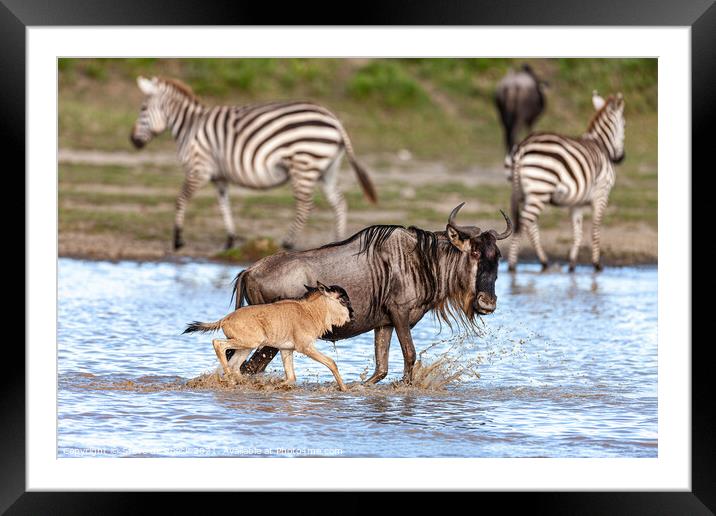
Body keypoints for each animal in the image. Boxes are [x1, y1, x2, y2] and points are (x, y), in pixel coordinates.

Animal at [129, 75, 378, 251]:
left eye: (142, 109)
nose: (132, 141)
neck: (190, 126)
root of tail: (335, 121)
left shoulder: (198, 169)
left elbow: (180, 200)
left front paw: (178, 239)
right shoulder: (219, 177)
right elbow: (224, 205)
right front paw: (230, 240)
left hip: (304, 163)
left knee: (306, 205)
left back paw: (287, 242)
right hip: (327, 169)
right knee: (339, 203)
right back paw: (339, 242)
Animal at [183, 282, 354, 392]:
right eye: (343, 300)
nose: (352, 316)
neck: (309, 312)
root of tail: (225, 319)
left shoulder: (286, 350)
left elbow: (291, 377)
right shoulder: (305, 347)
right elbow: (331, 362)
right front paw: (344, 389)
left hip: (246, 347)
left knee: (235, 366)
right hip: (249, 342)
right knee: (218, 344)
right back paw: (230, 380)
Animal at [506, 90, 624, 272]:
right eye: (624, 125)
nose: (621, 157)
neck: (601, 144)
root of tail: (522, 147)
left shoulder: (577, 202)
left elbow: (578, 232)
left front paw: (572, 264)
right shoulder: (601, 193)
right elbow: (595, 229)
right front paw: (597, 264)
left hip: (526, 192)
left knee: (530, 226)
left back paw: (543, 261)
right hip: (540, 189)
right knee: (523, 225)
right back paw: (512, 265)